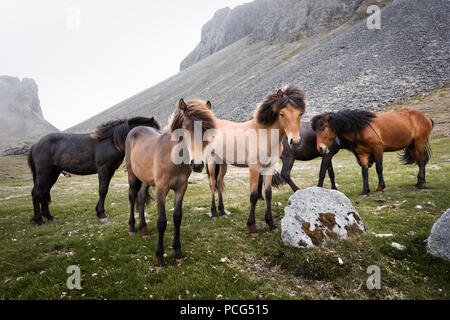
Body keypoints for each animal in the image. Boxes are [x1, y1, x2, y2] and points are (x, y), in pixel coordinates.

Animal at [27, 117, 161, 225]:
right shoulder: (103, 169)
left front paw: (98, 211)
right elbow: (102, 190)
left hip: (53, 173)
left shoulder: (110, 171)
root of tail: (35, 145)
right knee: (36, 193)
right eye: (151, 131)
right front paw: (102, 214)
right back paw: (39, 220)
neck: (111, 141)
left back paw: (49, 217)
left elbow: (105, 190)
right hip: (44, 173)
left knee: (44, 192)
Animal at [205, 85, 304, 235]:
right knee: (212, 184)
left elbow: (268, 194)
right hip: (211, 162)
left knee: (219, 182)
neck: (263, 135)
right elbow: (253, 195)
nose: (296, 141)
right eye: (282, 114)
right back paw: (214, 213)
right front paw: (252, 227)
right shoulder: (254, 168)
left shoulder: (269, 167)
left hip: (223, 164)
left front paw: (271, 224)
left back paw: (222, 211)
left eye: (300, 113)